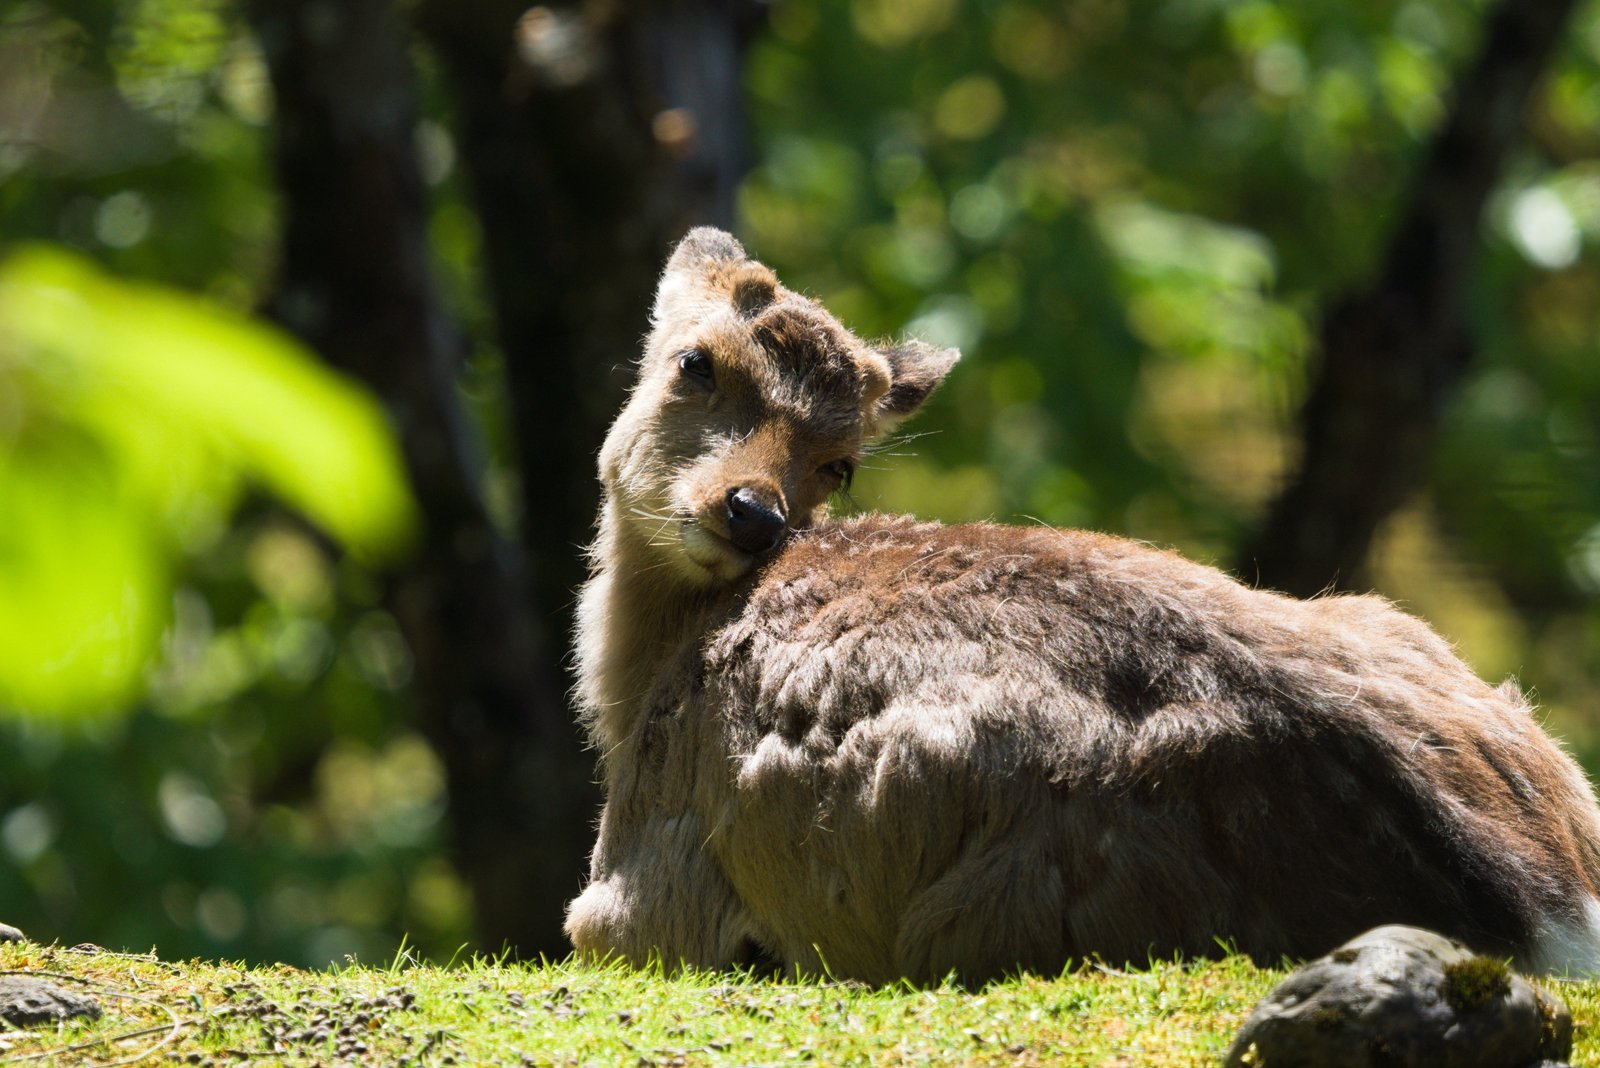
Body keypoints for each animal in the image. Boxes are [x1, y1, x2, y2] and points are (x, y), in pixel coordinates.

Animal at [563, 227, 1600, 985]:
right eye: (695, 362)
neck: (639, 686)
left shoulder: (645, 875)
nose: (752, 513)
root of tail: (1548, 915)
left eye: (842, 461)